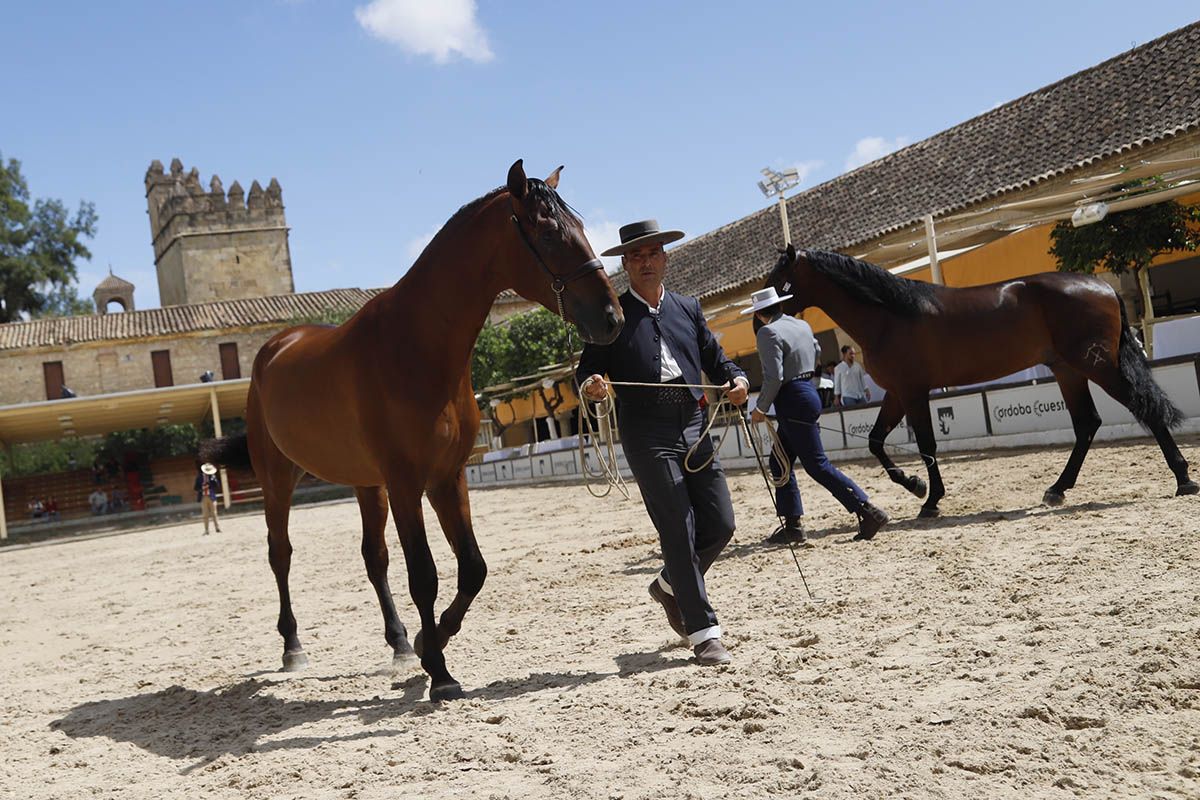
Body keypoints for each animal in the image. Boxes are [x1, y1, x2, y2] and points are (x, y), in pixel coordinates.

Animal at [198, 163, 624, 700]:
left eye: (582, 228)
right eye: (549, 233)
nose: (612, 318)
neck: (416, 346)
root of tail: (275, 348)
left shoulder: (446, 478)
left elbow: (472, 568)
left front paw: (426, 642)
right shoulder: (406, 483)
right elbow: (424, 574)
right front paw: (439, 672)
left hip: (366, 484)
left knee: (373, 558)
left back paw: (399, 642)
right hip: (279, 479)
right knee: (282, 555)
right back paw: (293, 647)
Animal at [763, 245, 1195, 520]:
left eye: (780, 276)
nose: (760, 317)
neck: (889, 315)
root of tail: (1102, 285)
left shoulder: (913, 392)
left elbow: (926, 444)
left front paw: (930, 499)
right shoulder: (897, 393)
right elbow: (875, 441)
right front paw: (914, 485)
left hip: (1097, 367)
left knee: (1145, 410)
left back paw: (1184, 480)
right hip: (1068, 370)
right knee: (1087, 423)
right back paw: (1057, 489)